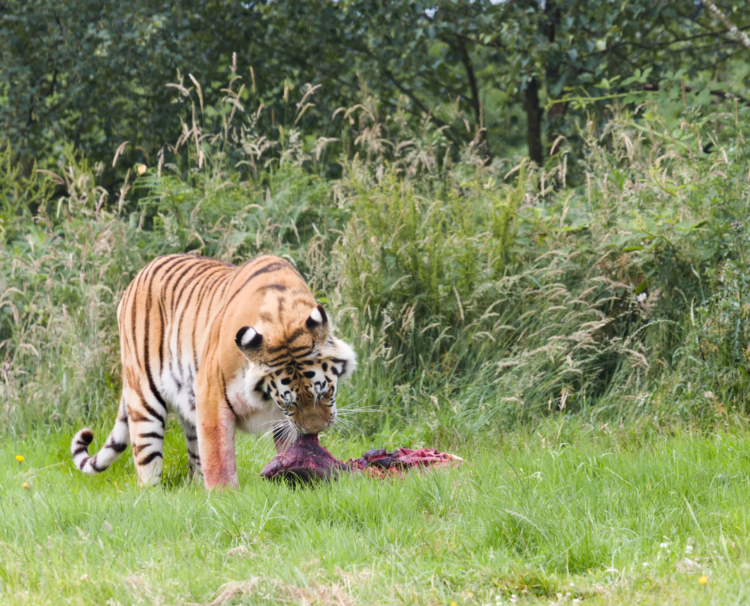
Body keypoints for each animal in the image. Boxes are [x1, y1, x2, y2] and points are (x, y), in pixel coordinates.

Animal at [69, 254, 356, 492]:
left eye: (324, 392)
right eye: (289, 402)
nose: (315, 430)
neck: (281, 317)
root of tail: (138, 277)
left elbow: (290, 449)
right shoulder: (212, 395)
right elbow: (218, 457)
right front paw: (224, 497)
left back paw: (195, 488)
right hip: (144, 397)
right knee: (147, 460)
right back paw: (151, 496)